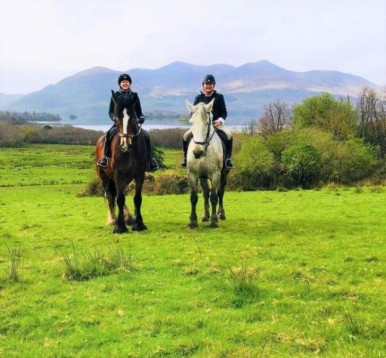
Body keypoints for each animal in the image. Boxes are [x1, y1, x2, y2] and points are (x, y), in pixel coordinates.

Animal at [96, 91, 148, 234]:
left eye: (134, 117)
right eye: (116, 117)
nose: (125, 145)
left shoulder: (139, 174)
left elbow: (137, 198)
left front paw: (138, 224)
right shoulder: (118, 174)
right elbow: (119, 198)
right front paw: (119, 226)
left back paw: (129, 218)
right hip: (104, 177)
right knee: (110, 195)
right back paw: (113, 220)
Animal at [185, 99, 228, 228]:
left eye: (208, 123)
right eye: (191, 122)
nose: (197, 152)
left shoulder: (215, 174)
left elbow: (214, 196)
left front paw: (214, 220)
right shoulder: (192, 174)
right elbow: (194, 197)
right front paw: (193, 221)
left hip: (224, 174)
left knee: (220, 192)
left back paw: (221, 214)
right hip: (203, 177)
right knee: (205, 193)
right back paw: (205, 216)